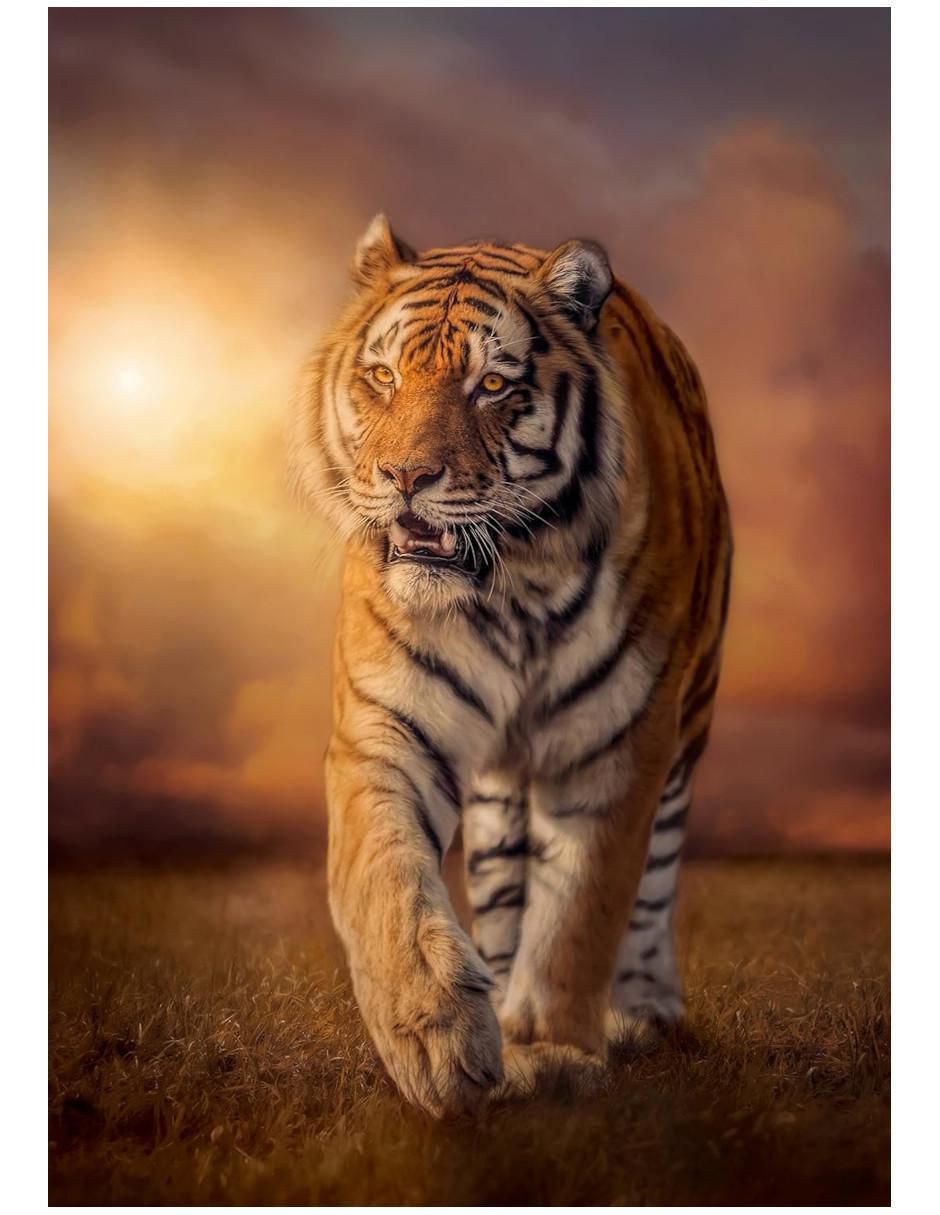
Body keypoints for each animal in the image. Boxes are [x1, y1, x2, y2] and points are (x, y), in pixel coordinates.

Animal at [289, 214, 732, 1117]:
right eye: (383, 376)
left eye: (491, 384)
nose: (406, 477)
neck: (510, 588)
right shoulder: (385, 727)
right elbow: (385, 875)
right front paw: (436, 1037)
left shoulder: (617, 743)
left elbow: (582, 911)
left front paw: (553, 1049)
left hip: (688, 721)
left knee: (655, 879)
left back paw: (642, 1008)